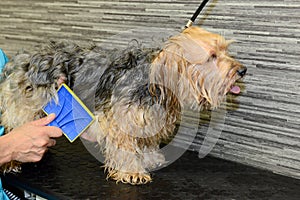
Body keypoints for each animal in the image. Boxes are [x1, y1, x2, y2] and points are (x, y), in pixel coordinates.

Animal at [0, 26, 246, 184]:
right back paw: (11, 161)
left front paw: (150, 159)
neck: (154, 83)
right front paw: (132, 172)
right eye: (211, 56)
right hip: (24, 107)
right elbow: (125, 149)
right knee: (14, 128)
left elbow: (146, 144)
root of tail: (21, 59)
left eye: (225, 50)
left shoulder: (147, 120)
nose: (242, 70)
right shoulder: (121, 122)